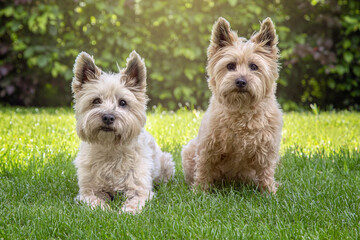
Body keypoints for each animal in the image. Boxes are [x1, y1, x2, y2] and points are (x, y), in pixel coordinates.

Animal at [71, 51, 175, 213]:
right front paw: (105, 210)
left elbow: (134, 202)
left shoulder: (140, 189)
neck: (111, 148)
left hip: (167, 163)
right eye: (96, 101)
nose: (108, 117)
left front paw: (126, 213)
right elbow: (94, 201)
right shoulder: (88, 191)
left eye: (123, 102)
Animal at [181, 17, 282, 193]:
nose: (241, 81)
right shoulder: (208, 146)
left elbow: (266, 172)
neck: (241, 109)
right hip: (188, 152)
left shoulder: (266, 150)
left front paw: (269, 193)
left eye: (254, 66)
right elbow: (204, 169)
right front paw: (199, 192)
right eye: (230, 66)